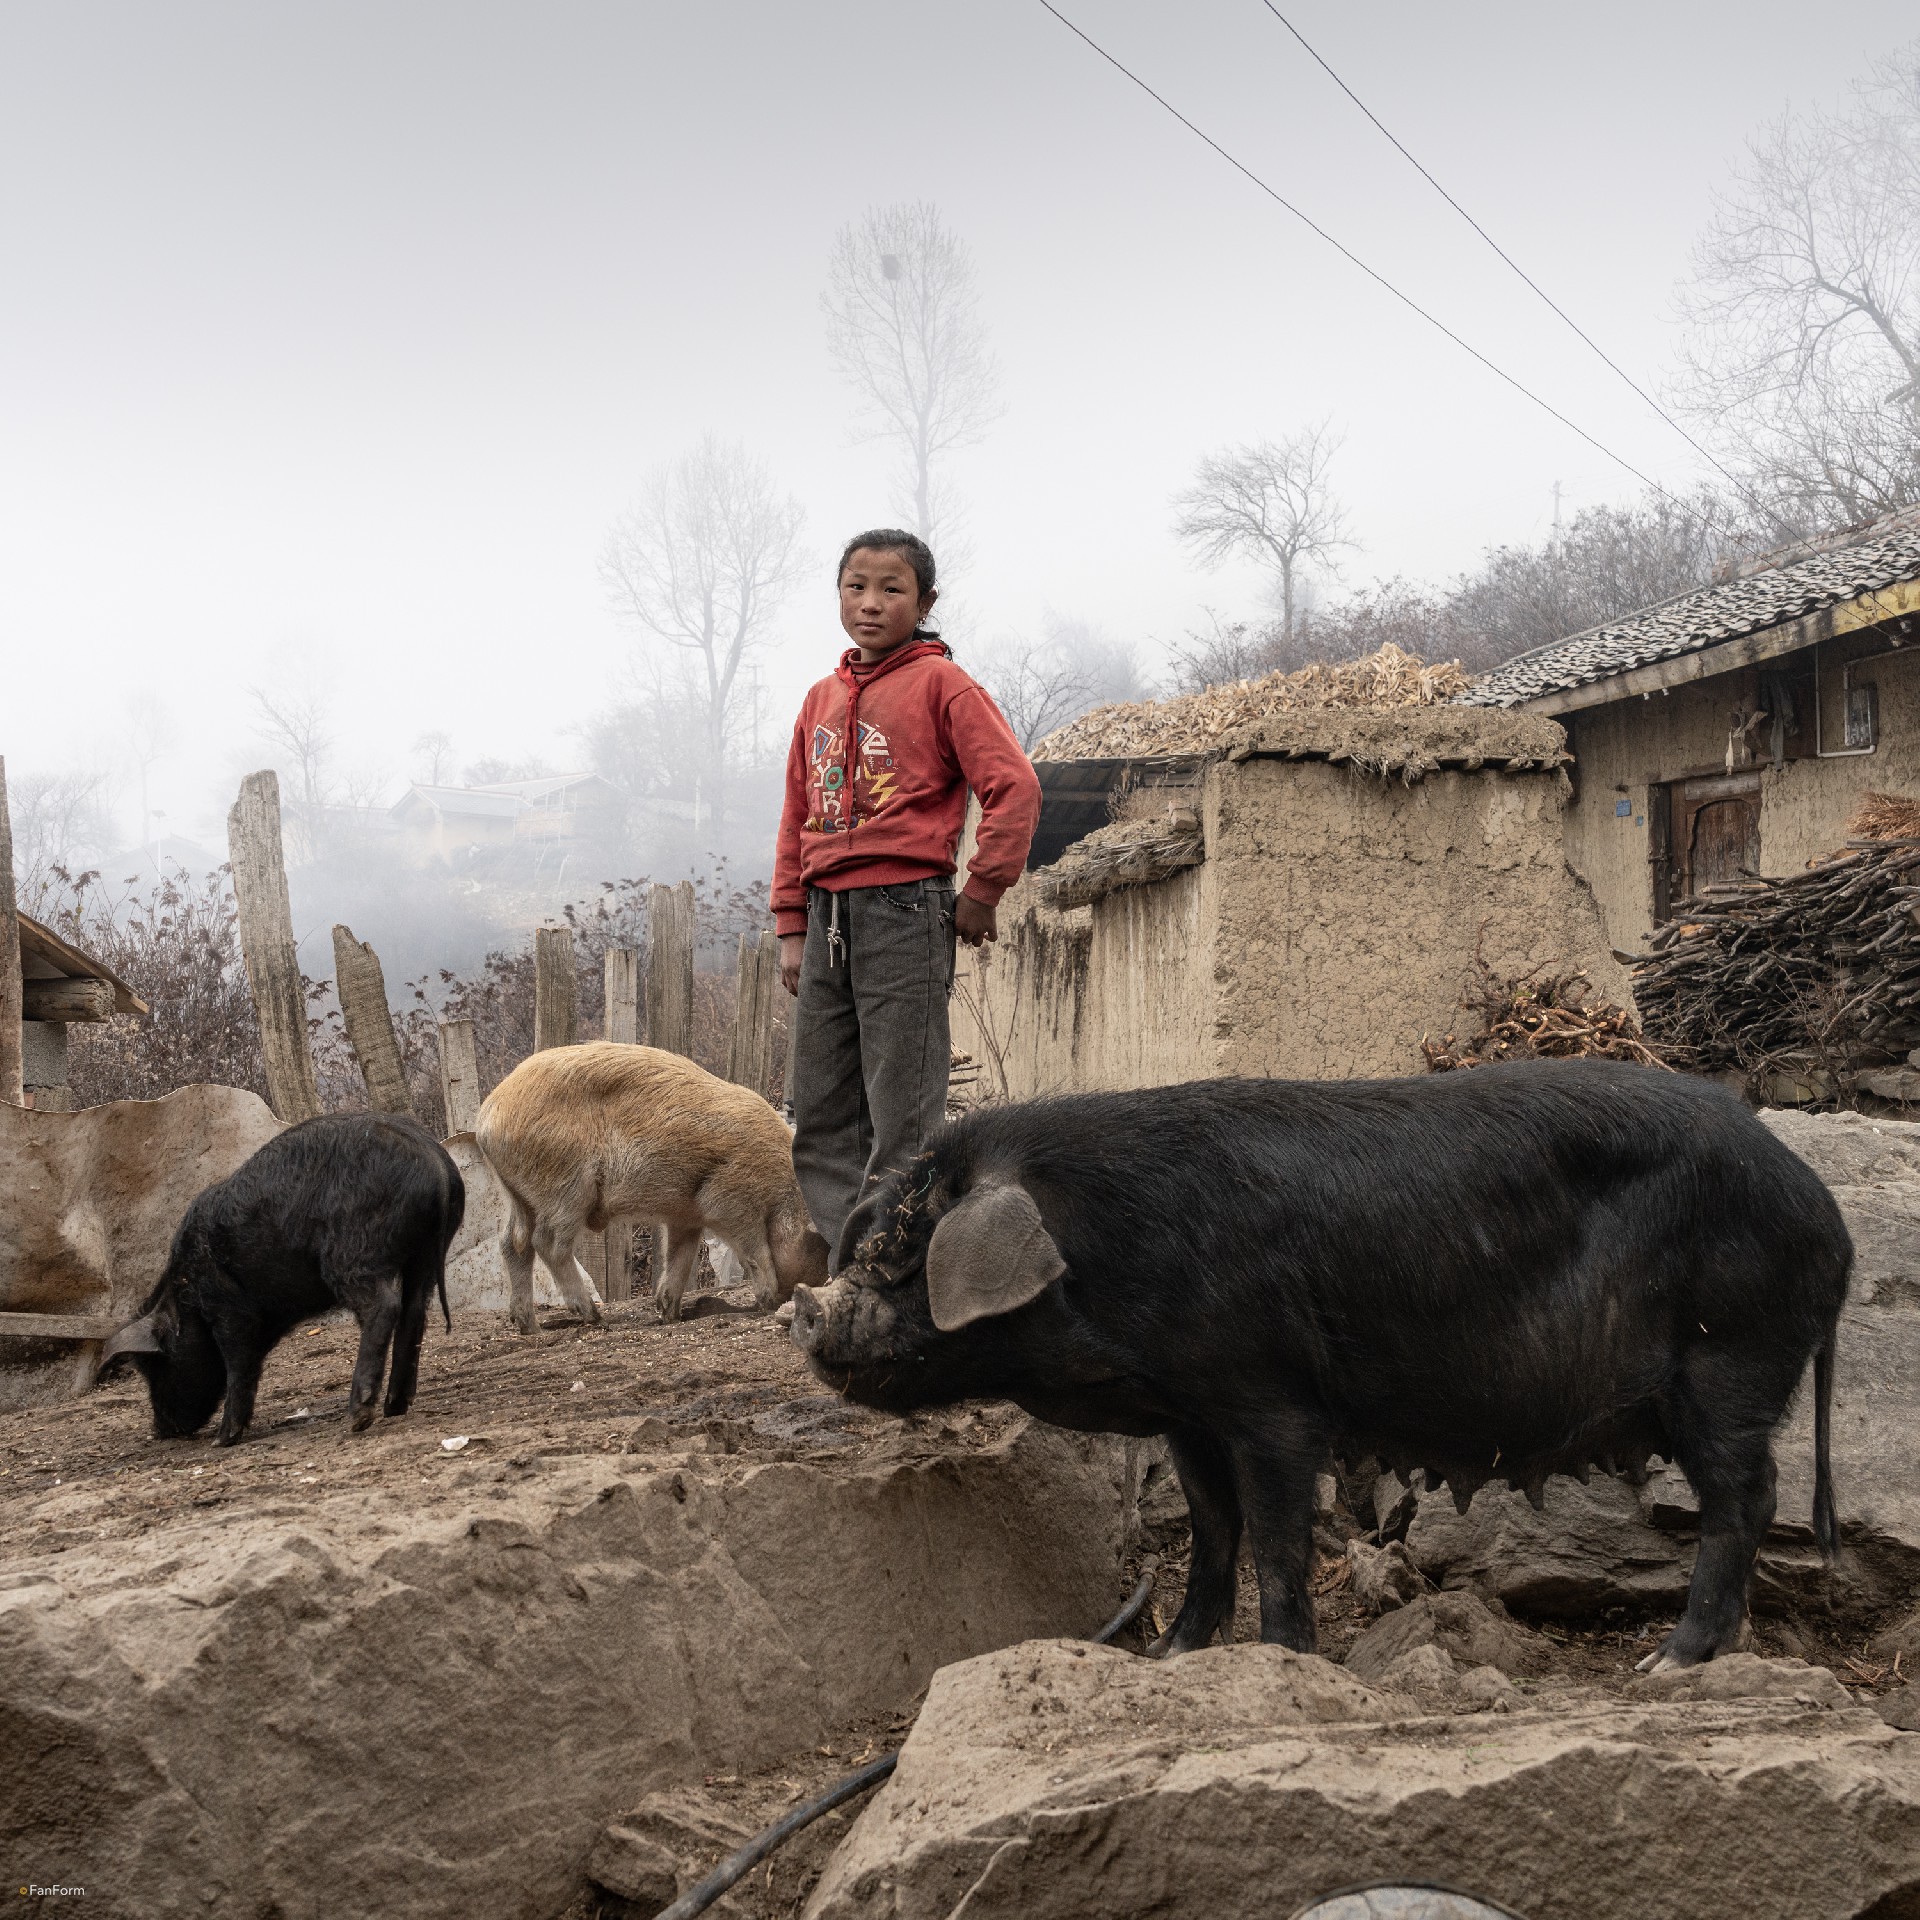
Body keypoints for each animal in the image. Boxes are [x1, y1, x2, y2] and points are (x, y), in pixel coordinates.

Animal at [98, 1111, 464, 1444]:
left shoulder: (227, 1307)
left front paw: (223, 1439)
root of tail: (432, 1159)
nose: (161, 1431)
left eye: (154, 1365)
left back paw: (358, 1416)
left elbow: (237, 1362)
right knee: (414, 1311)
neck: (185, 1295)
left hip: (355, 1254)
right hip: (425, 1255)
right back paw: (394, 1407)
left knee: (385, 1306)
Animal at [475, 1041, 829, 1332]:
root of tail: (486, 1118)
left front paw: (669, 1314)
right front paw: (766, 1301)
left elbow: (680, 1256)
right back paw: (593, 1316)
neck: (782, 1194)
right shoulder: (730, 1199)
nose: (790, 1298)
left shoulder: (686, 1213)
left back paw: (529, 1327)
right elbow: (754, 1249)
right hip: (565, 1186)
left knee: (514, 1244)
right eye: (818, 1249)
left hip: (519, 1195)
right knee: (547, 1242)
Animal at [791, 1061, 1851, 1672]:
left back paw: (1671, 1665)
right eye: (878, 1241)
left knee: (1745, 1498)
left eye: (903, 1255)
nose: (803, 1311)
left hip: (1733, 1355)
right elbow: (1212, 1529)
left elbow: (1275, 1533)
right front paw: (1171, 1655)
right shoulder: (1189, 1411)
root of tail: (1829, 1218)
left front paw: (1285, 1659)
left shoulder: (1271, 1397)